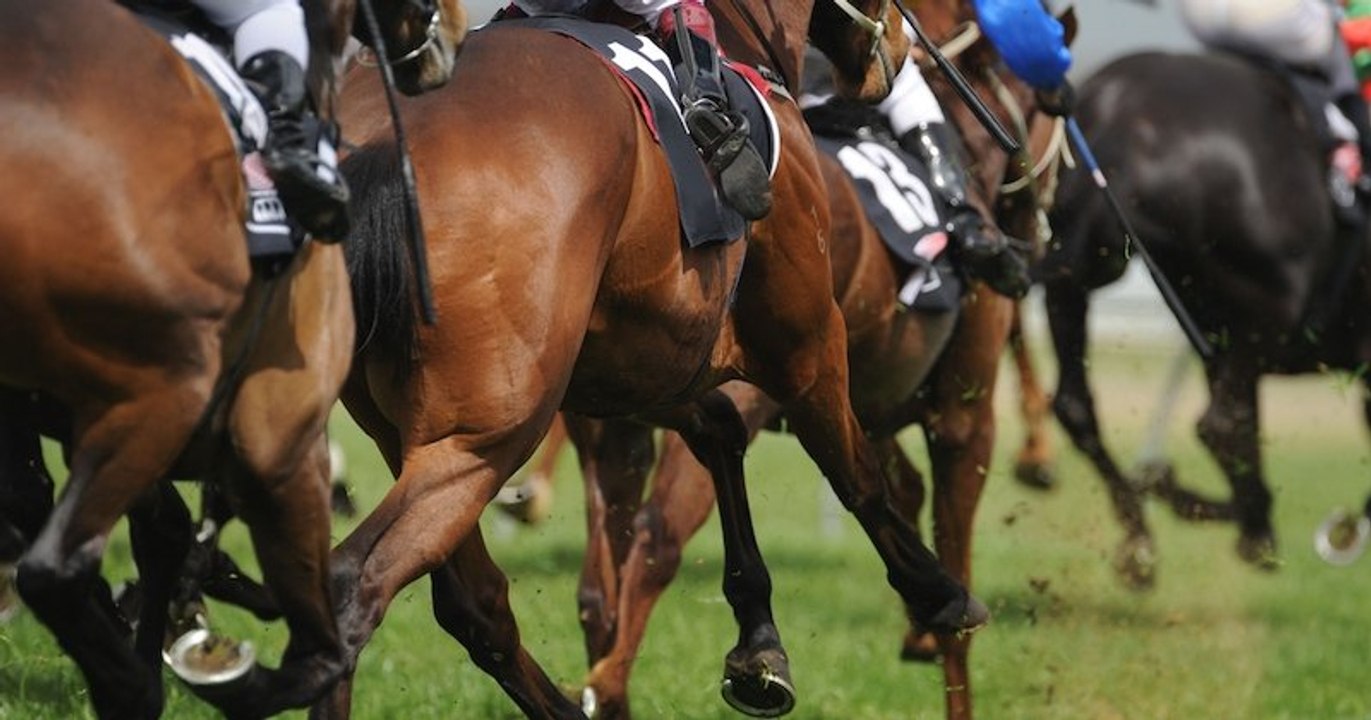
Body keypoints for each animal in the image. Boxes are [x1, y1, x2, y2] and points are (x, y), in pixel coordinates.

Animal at [0, 0, 463, 716]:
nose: (448, 40)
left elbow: (151, 524)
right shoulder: (280, 435)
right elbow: (316, 646)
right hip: (168, 394)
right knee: (57, 566)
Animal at [325, 2, 993, 717]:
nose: (896, 47)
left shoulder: (637, 370)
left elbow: (720, 434)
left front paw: (759, 646)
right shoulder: (806, 340)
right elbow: (856, 473)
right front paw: (940, 594)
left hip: (408, 430)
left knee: (474, 605)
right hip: (484, 436)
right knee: (355, 587)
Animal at [567, 4, 1074, 718]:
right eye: (1055, 102)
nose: (1030, 233)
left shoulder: (861, 401)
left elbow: (897, 488)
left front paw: (919, 626)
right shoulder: (960, 418)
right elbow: (946, 548)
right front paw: (943, 624)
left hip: (610, 411)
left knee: (599, 579)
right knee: (659, 535)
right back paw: (622, 679)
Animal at [1039, 50, 1371, 587]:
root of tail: (1126, 118)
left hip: (1082, 271)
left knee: (1076, 405)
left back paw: (1143, 536)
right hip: (1268, 305)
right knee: (1221, 423)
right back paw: (1251, 529)